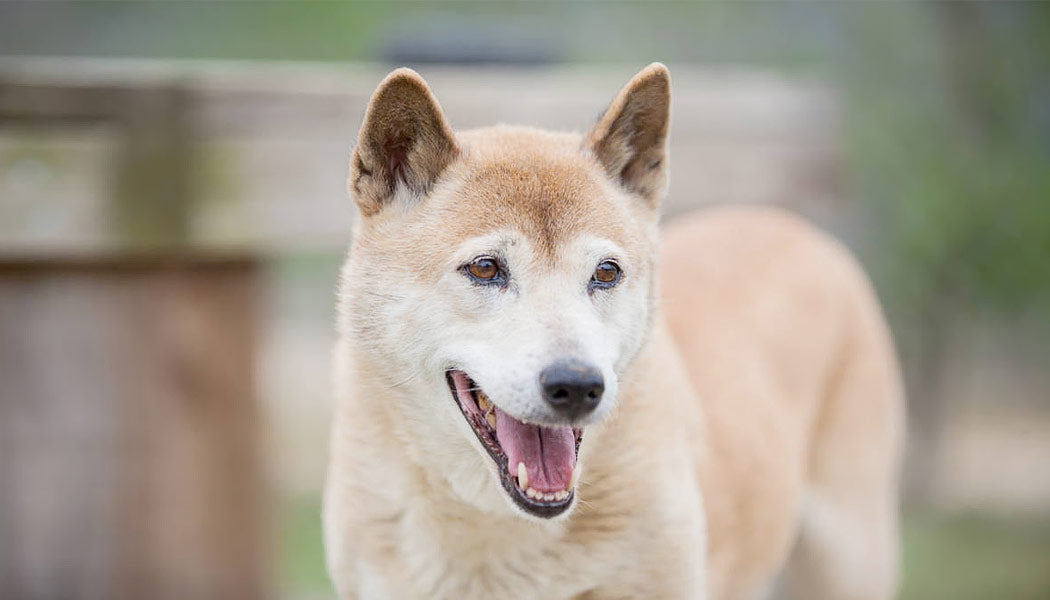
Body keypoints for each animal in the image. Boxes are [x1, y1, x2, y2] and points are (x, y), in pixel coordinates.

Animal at [323, 63, 907, 596]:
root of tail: (796, 226)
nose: (578, 385)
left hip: (849, 555)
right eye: (486, 268)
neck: (499, 535)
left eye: (605, 273)